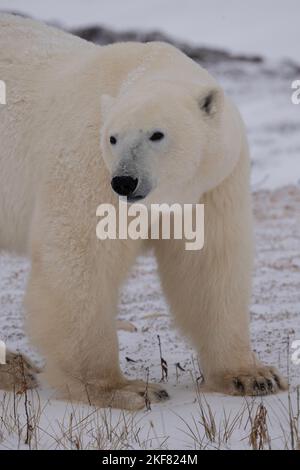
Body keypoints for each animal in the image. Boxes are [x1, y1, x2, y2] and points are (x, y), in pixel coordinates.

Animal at [0, 12, 286, 406]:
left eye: (156, 134)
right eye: (112, 138)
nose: (124, 181)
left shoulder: (212, 185)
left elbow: (208, 265)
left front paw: (252, 376)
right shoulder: (88, 166)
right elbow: (82, 261)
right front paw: (123, 388)